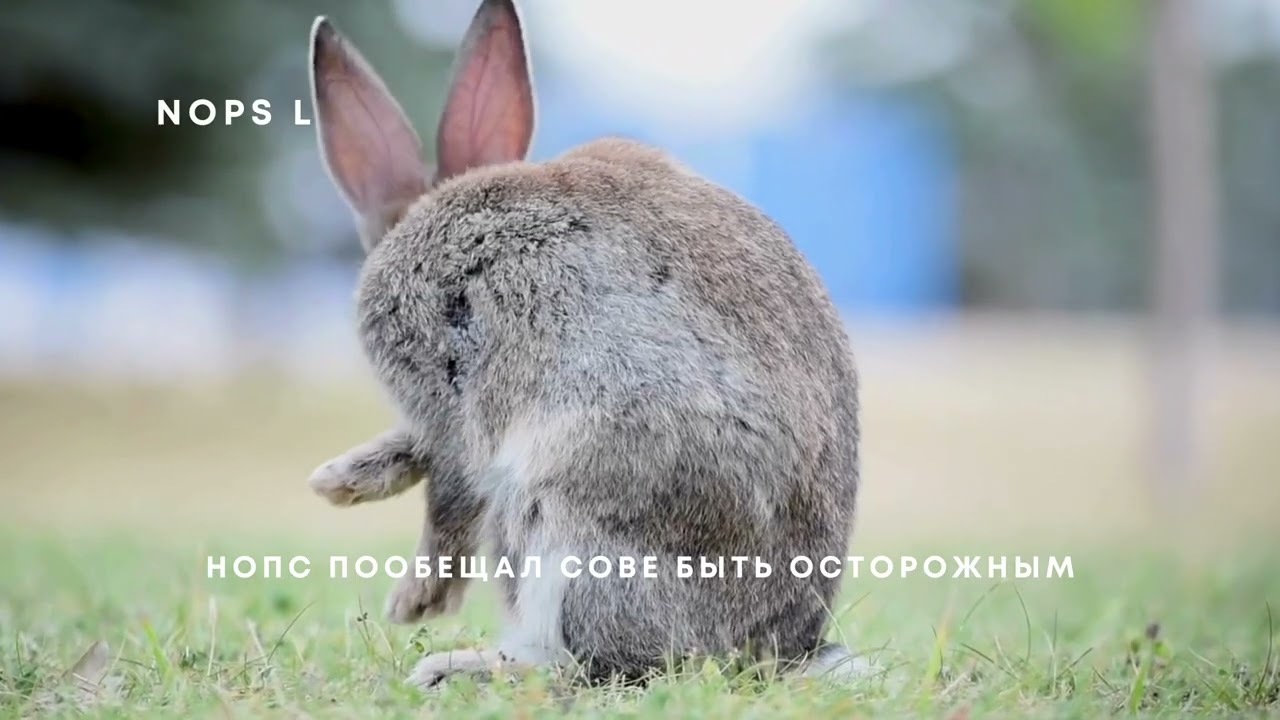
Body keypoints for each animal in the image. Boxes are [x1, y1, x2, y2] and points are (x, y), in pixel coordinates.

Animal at [305, 0, 863, 688]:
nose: (409, 610)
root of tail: (775, 648)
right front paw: (339, 481)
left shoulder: (449, 394)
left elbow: (450, 494)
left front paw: (414, 602)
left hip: (562, 510)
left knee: (593, 664)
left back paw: (456, 667)